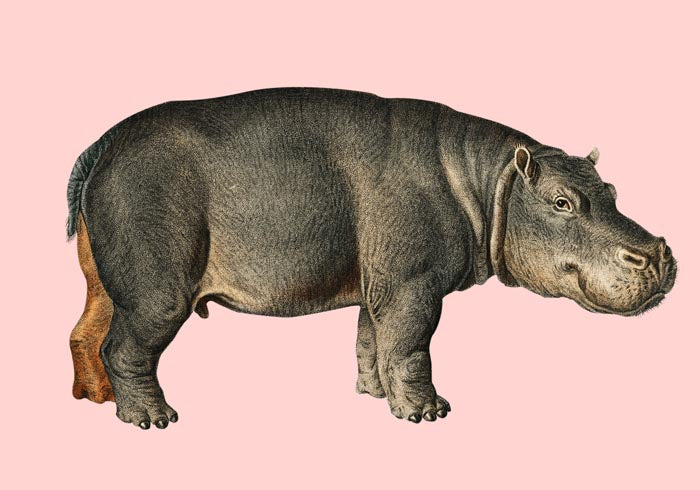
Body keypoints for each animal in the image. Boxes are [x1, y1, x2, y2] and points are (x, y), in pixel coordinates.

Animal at [67, 87, 677, 429]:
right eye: (561, 202)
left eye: (612, 190)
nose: (657, 252)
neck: (489, 180)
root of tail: (102, 145)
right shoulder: (413, 285)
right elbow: (410, 345)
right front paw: (428, 414)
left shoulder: (379, 283)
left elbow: (372, 341)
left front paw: (374, 396)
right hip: (157, 290)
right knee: (125, 347)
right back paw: (152, 420)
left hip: (109, 283)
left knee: (86, 333)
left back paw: (94, 400)